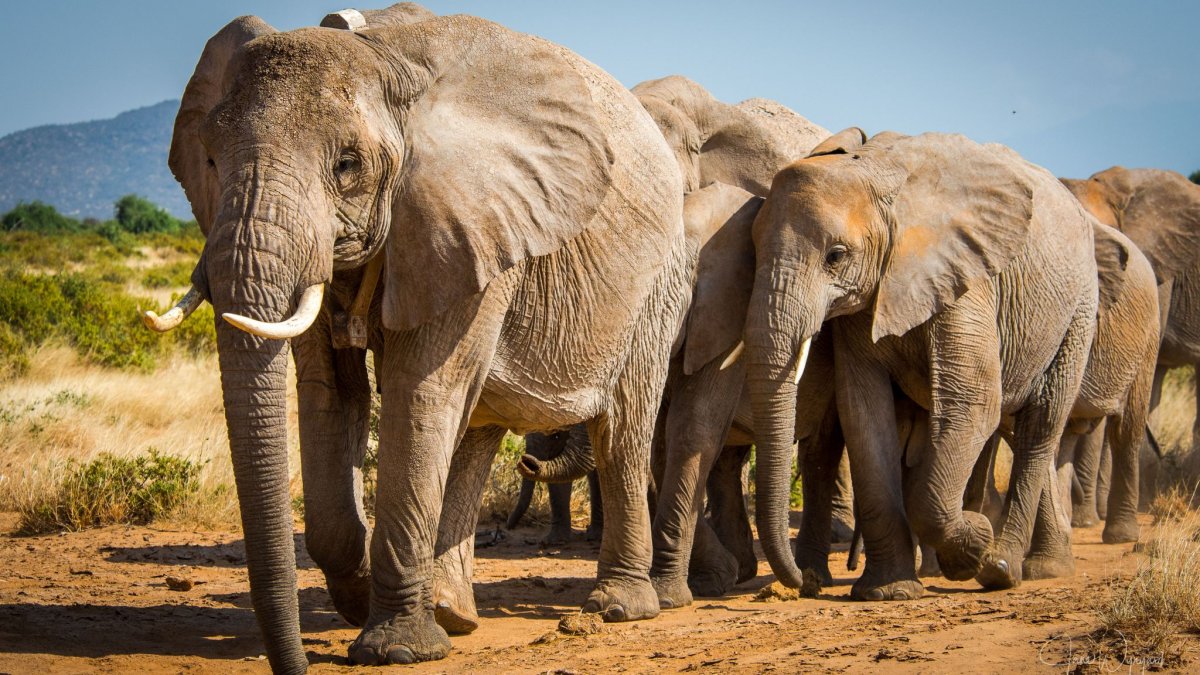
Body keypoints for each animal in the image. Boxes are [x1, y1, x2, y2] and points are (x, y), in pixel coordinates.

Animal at [142, 13, 694, 670]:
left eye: (348, 165)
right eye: (208, 158)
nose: (296, 664)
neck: (384, 61)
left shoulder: (472, 222)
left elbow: (419, 391)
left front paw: (395, 648)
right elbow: (331, 393)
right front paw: (358, 596)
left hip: (657, 286)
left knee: (622, 430)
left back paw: (618, 608)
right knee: (478, 427)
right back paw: (453, 611)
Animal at [746, 130, 1102, 601]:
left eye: (836, 256)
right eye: (751, 251)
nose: (805, 584)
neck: (875, 173)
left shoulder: (965, 277)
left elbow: (973, 401)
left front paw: (974, 545)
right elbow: (864, 413)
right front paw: (889, 592)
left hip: (1079, 308)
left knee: (1039, 425)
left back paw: (1001, 569)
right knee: (1007, 424)